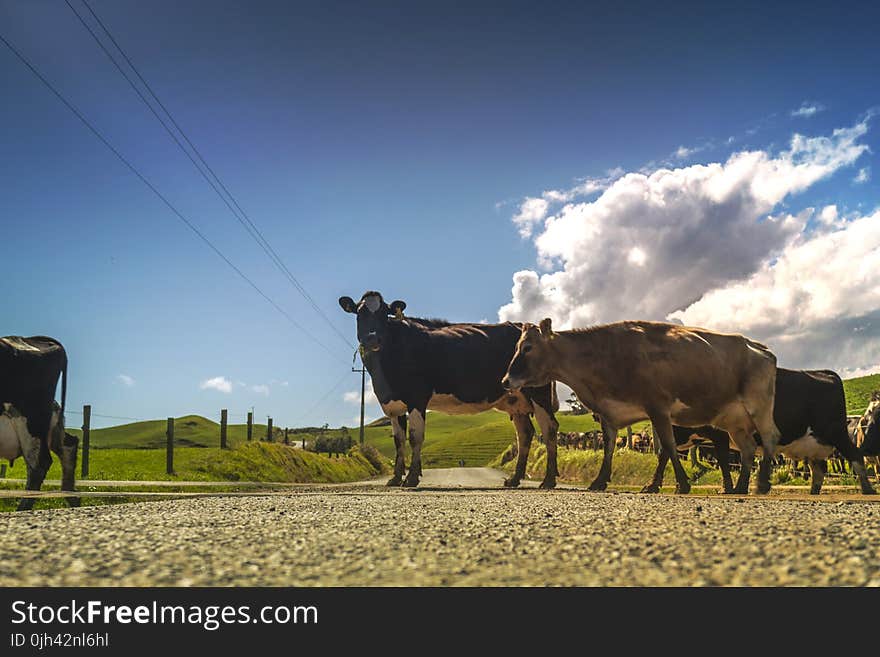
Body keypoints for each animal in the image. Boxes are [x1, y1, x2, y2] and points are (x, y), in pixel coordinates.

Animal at [336, 292, 556, 486]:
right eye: (360, 313)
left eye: (384, 313)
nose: (372, 338)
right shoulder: (393, 404)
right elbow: (398, 442)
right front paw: (395, 479)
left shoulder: (417, 397)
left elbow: (415, 437)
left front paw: (411, 478)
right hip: (516, 400)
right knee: (525, 434)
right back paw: (514, 479)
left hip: (538, 393)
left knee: (549, 428)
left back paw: (548, 480)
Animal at [498, 316, 780, 492]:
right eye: (517, 346)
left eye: (528, 347)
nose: (505, 380)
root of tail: (759, 347)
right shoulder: (609, 413)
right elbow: (609, 447)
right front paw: (599, 481)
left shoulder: (658, 407)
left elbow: (667, 446)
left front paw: (681, 484)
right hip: (733, 420)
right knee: (747, 448)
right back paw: (741, 486)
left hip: (759, 406)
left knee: (769, 438)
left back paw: (762, 484)